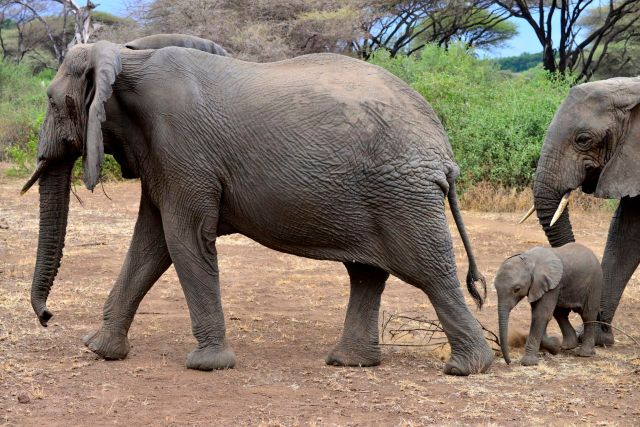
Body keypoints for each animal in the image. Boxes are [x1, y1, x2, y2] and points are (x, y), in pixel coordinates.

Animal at [21, 40, 494, 375]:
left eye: (52, 101)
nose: (46, 317)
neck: (127, 58)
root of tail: (444, 152)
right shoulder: (163, 157)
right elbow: (151, 245)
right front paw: (99, 350)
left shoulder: (182, 150)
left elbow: (183, 238)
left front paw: (207, 366)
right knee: (367, 273)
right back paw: (350, 363)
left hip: (402, 195)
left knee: (429, 272)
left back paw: (466, 368)